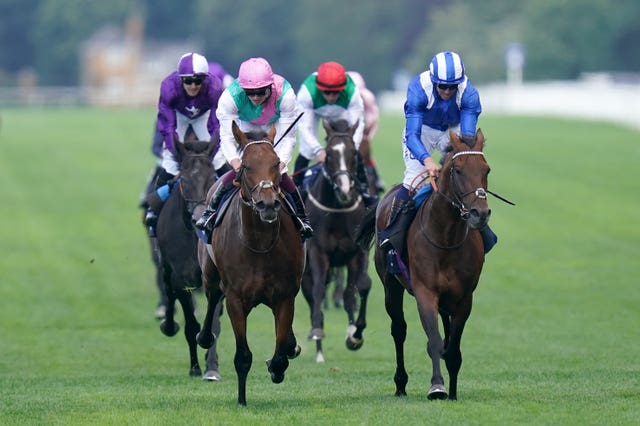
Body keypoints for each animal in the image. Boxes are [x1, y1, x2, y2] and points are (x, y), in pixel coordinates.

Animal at [155, 137, 218, 376]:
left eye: (213, 177)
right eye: (184, 179)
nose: (199, 218)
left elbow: (213, 324)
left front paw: (211, 368)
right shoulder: (182, 278)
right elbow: (191, 325)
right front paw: (195, 368)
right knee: (167, 288)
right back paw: (168, 325)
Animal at [196, 120, 304, 406]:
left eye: (276, 163)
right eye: (245, 166)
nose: (267, 204)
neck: (259, 243)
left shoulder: (284, 296)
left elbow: (280, 351)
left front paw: (277, 366)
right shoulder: (236, 298)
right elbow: (243, 356)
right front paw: (242, 399)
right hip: (209, 274)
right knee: (212, 298)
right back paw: (204, 336)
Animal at [302, 119, 372, 362]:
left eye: (353, 153)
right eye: (330, 154)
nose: (344, 190)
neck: (338, 212)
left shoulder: (357, 253)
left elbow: (357, 289)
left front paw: (354, 334)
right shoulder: (318, 253)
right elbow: (318, 291)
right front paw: (316, 331)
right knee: (313, 295)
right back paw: (319, 351)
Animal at [360, 129, 490, 400]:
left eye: (487, 169)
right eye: (458, 170)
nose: (479, 214)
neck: (446, 237)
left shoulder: (464, 298)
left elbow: (453, 347)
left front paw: (452, 392)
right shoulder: (425, 292)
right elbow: (435, 341)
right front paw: (437, 386)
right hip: (390, 285)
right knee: (399, 330)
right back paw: (400, 384)